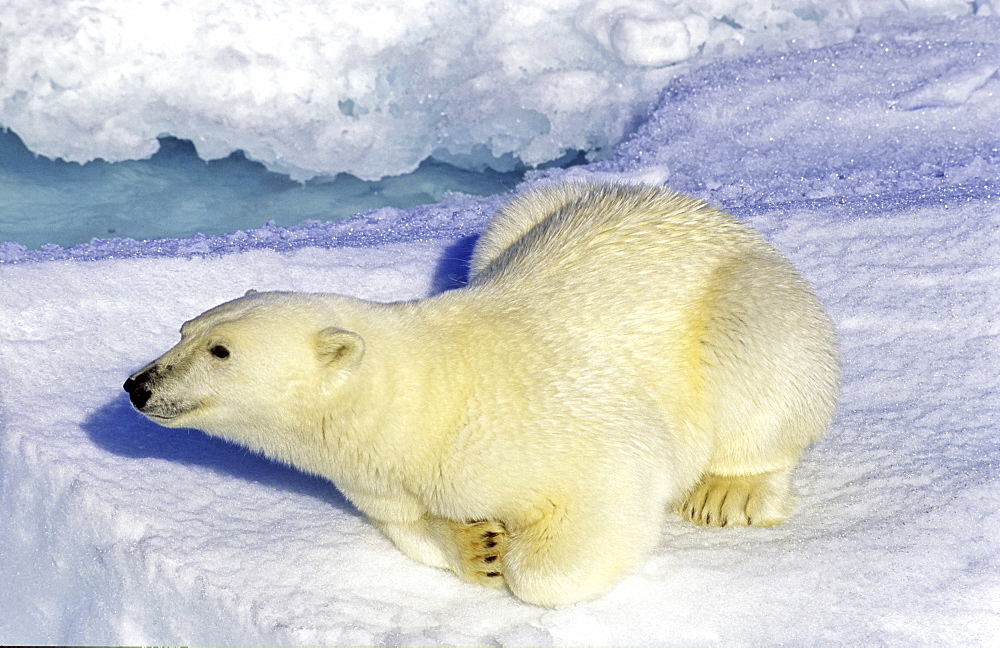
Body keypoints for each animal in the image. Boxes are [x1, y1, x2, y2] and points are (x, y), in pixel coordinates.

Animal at [129, 182, 840, 608]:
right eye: (185, 330)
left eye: (221, 351)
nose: (138, 385)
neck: (429, 404)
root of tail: (723, 219)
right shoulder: (381, 483)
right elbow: (409, 529)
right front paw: (479, 549)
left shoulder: (550, 424)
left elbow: (596, 512)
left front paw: (518, 562)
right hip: (523, 218)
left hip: (749, 304)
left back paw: (729, 492)